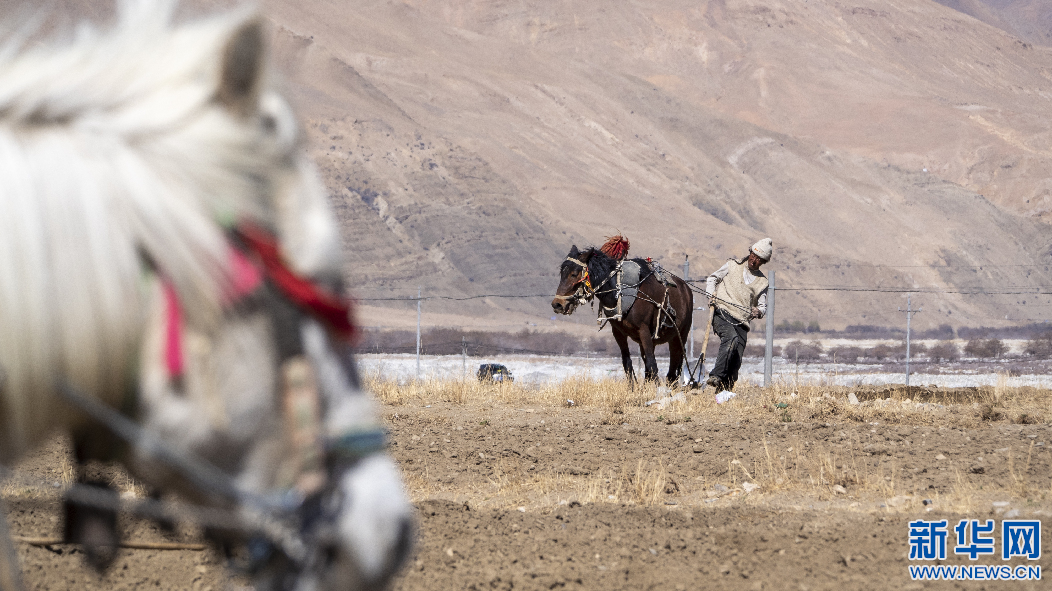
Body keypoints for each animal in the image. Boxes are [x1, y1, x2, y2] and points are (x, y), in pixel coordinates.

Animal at [551, 240, 694, 386]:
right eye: (562, 273)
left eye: (574, 274)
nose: (557, 304)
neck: (620, 292)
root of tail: (686, 288)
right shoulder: (619, 333)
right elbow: (628, 364)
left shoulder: (644, 331)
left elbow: (652, 364)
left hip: (679, 335)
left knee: (673, 368)